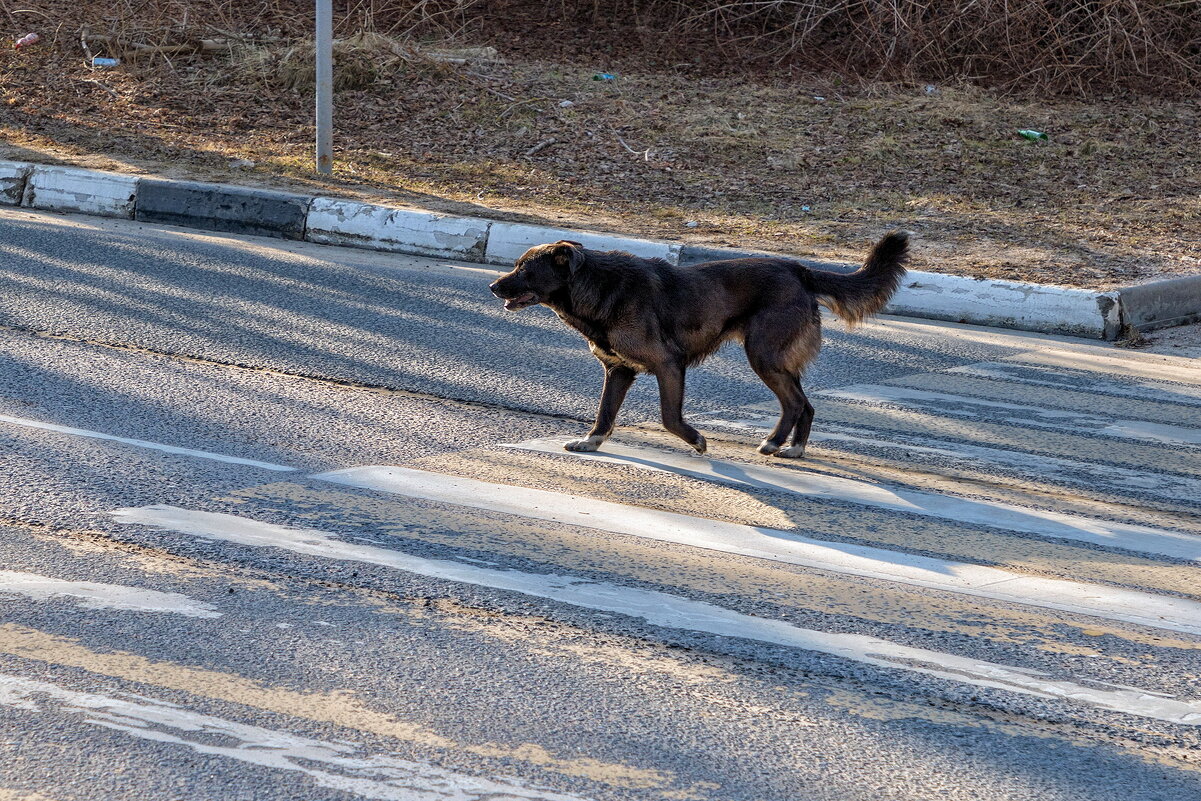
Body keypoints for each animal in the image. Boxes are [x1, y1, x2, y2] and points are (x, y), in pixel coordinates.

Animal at [490, 231, 907, 456]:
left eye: (524, 269)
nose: (492, 286)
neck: (595, 286)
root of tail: (797, 269)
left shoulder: (669, 364)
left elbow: (669, 418)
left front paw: (697, 440)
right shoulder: (619, 371)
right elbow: (604, 414)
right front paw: (591, 442)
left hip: (763, 356)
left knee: (794, 403)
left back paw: (775, 442)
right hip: (779, 360)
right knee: (806, 404)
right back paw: (795, 447)